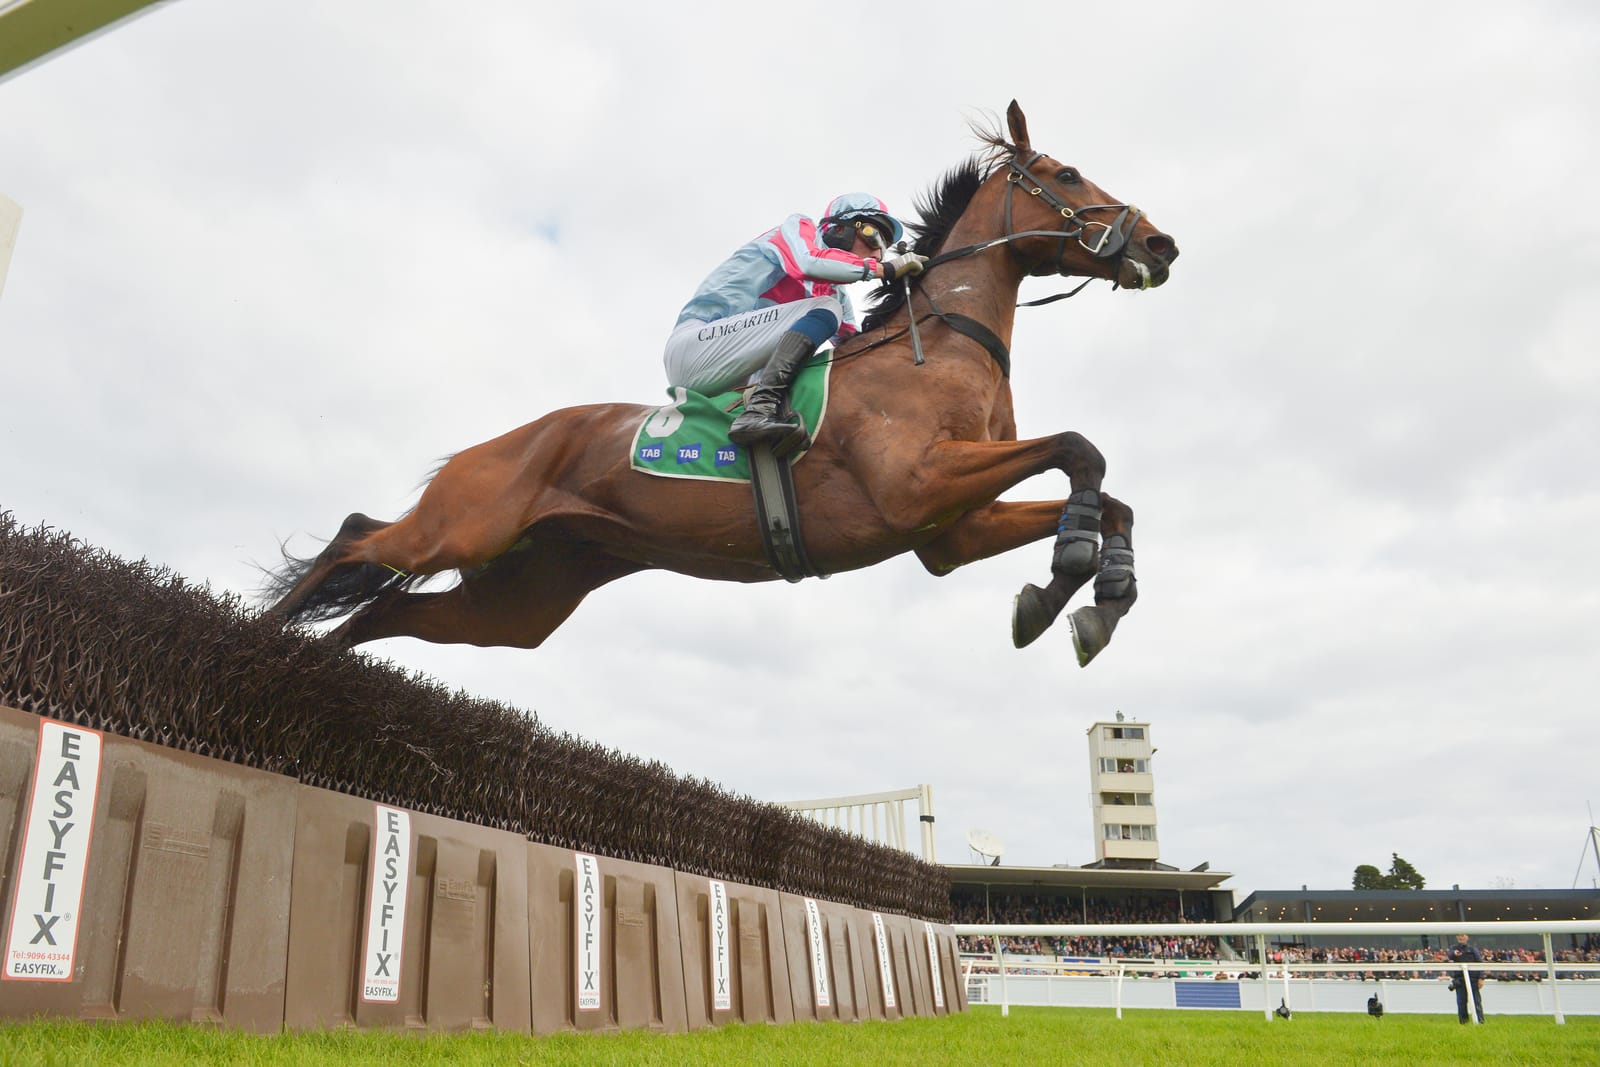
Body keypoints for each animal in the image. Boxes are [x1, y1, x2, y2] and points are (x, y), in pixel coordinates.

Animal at [268, 99, 1184, 668]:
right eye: (1065, 175)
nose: (1161, 243)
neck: (945, 346)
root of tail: (490, 446)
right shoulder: (916, 487)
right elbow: (1081, 449)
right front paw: (1071, 571)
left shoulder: (948, 531)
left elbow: (1110, 497)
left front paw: (1094, 594)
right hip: (462, 527)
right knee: (356, 536)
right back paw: (259, 636)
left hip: (517, 598)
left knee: (381, 610)